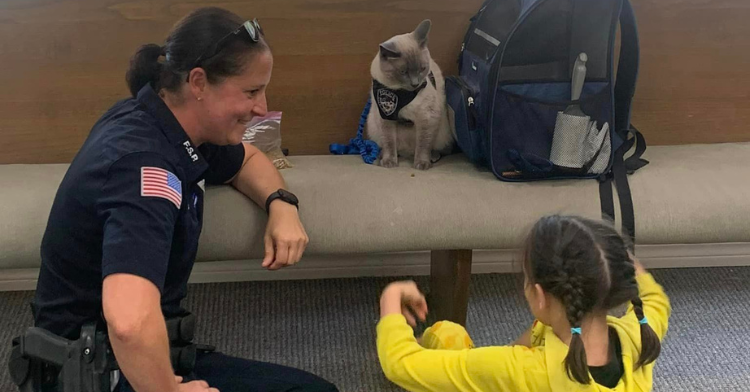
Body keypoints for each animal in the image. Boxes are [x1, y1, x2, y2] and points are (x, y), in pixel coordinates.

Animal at [368, 19, 456, 170]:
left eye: (422, 69)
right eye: (403, 72)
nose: (415, 84)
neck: (401, 93)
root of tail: (407, 152)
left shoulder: (426, 117)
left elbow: (423, 144)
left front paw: (421, 164)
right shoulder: (385, 117)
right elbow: (389, 142)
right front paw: (389, 162)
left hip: (442, 131)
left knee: (434, 148)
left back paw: (432, 157)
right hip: (373, 125)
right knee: (391, 147)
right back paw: (381, 157)